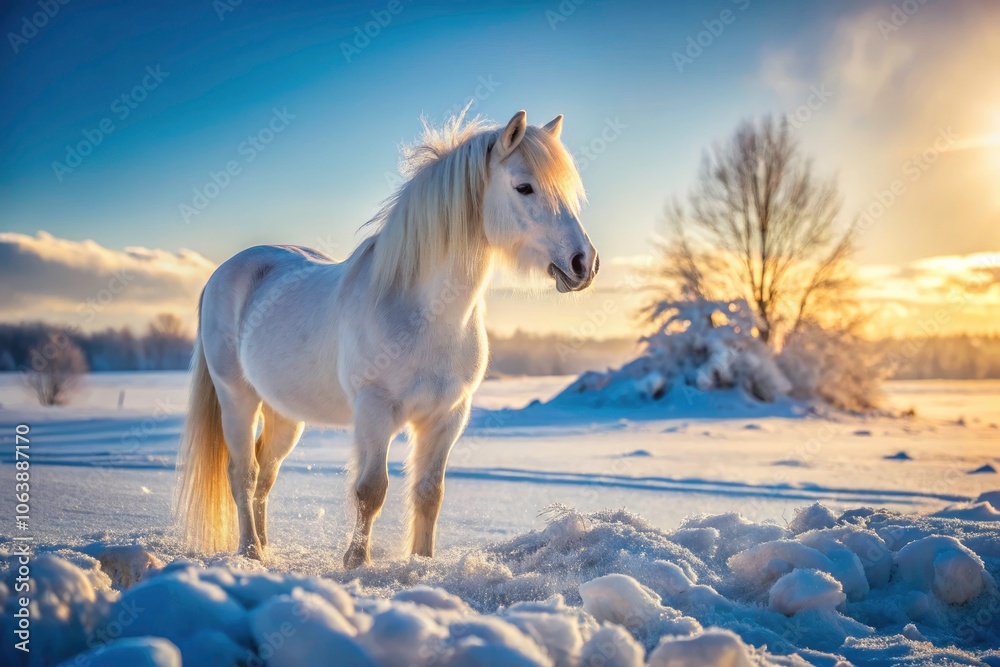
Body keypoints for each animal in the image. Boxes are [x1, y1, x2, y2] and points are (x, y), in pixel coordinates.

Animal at [176, 110, 599, 568]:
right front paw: (356, 562)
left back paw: (266, 549)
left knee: (265, 474)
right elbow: (370, 491)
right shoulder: (375, 412)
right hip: (237, 397)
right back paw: (250, 552)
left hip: (284, 413)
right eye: (524, 186)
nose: (584, 263)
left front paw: (422, 562)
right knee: (244, 474)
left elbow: (430, 493)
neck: (423, 313)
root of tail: (224, 272)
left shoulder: (448, 416)